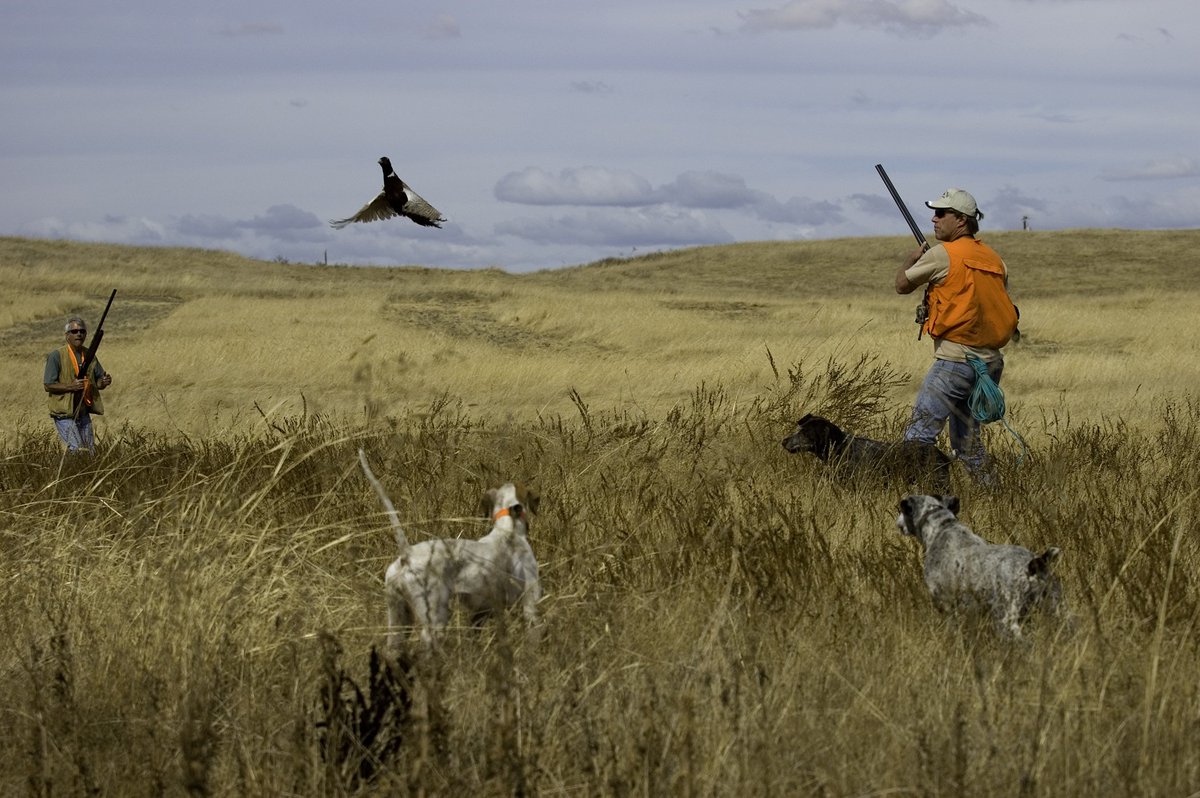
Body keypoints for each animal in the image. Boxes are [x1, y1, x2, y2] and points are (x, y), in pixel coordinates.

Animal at [357, 448, 542, 648]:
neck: (507, 529)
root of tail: (408, 554)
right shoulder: (531, 602)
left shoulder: (480, 613)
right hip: (434, 615)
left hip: (398, 618)